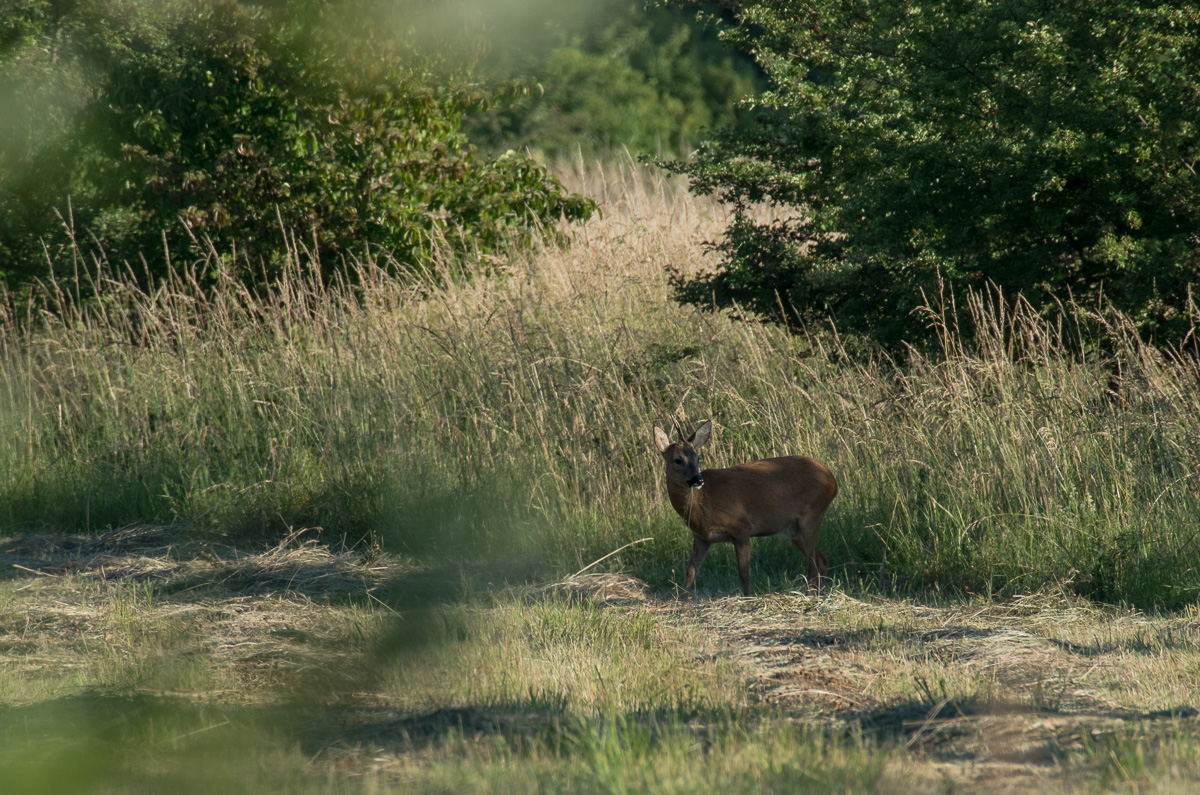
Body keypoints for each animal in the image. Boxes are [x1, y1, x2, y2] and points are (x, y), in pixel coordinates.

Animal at [657, 422, 835, 598]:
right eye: (677, 460)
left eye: (697, 458)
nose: (698, 479)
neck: (702, 503)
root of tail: (832, 480)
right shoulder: (701, 538)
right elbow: (690, 572)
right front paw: (681, 600)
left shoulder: (741, 528)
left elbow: (744, 574)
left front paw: (748, 598)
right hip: (794, 530)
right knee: (822, 561)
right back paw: (819, 594)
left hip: (812, 514)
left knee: (813, 565)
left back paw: (811, 595)